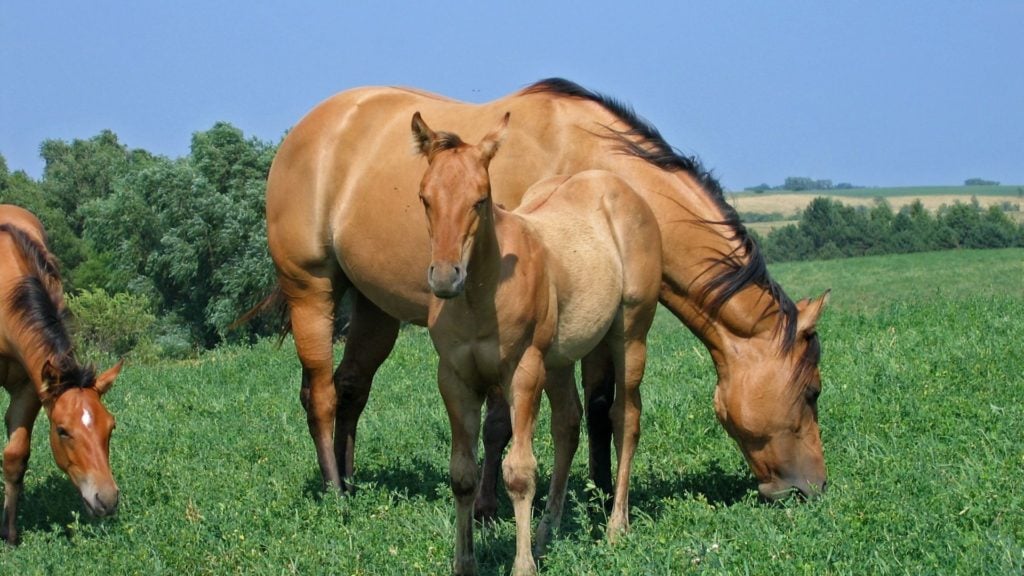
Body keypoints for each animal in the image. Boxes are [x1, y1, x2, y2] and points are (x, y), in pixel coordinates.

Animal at [0, 203, 124, 541]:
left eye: (111, 427)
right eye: (62, 431)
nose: (106, 499)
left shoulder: (32, 385)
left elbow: (15, 456)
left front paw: (10, 534)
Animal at [266, 78, 831, 508]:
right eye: (813, 391)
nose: (814, 487)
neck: (594, 168)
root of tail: (308, 129)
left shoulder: (597, 318)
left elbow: (601, 406)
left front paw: (600, 493)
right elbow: (499, 423)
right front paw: (488, 508)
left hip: (374, 308)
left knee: (351, 388)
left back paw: (350, 482)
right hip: (311, 289)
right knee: (319, 393)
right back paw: (333, 492)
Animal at [411, 113, 659, 573]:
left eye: (480, 199)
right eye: (425, 198)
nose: (445, 277)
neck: (480, 297)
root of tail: (619, 188)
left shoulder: (523, 372)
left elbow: (520, 471)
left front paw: (522, 564)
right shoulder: (454, 378)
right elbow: (462, 474)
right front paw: (465, 562)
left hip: (630, 335)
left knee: (626, 417)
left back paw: (617, 525)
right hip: (558, 361)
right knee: (568, 425)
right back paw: (548, 531)